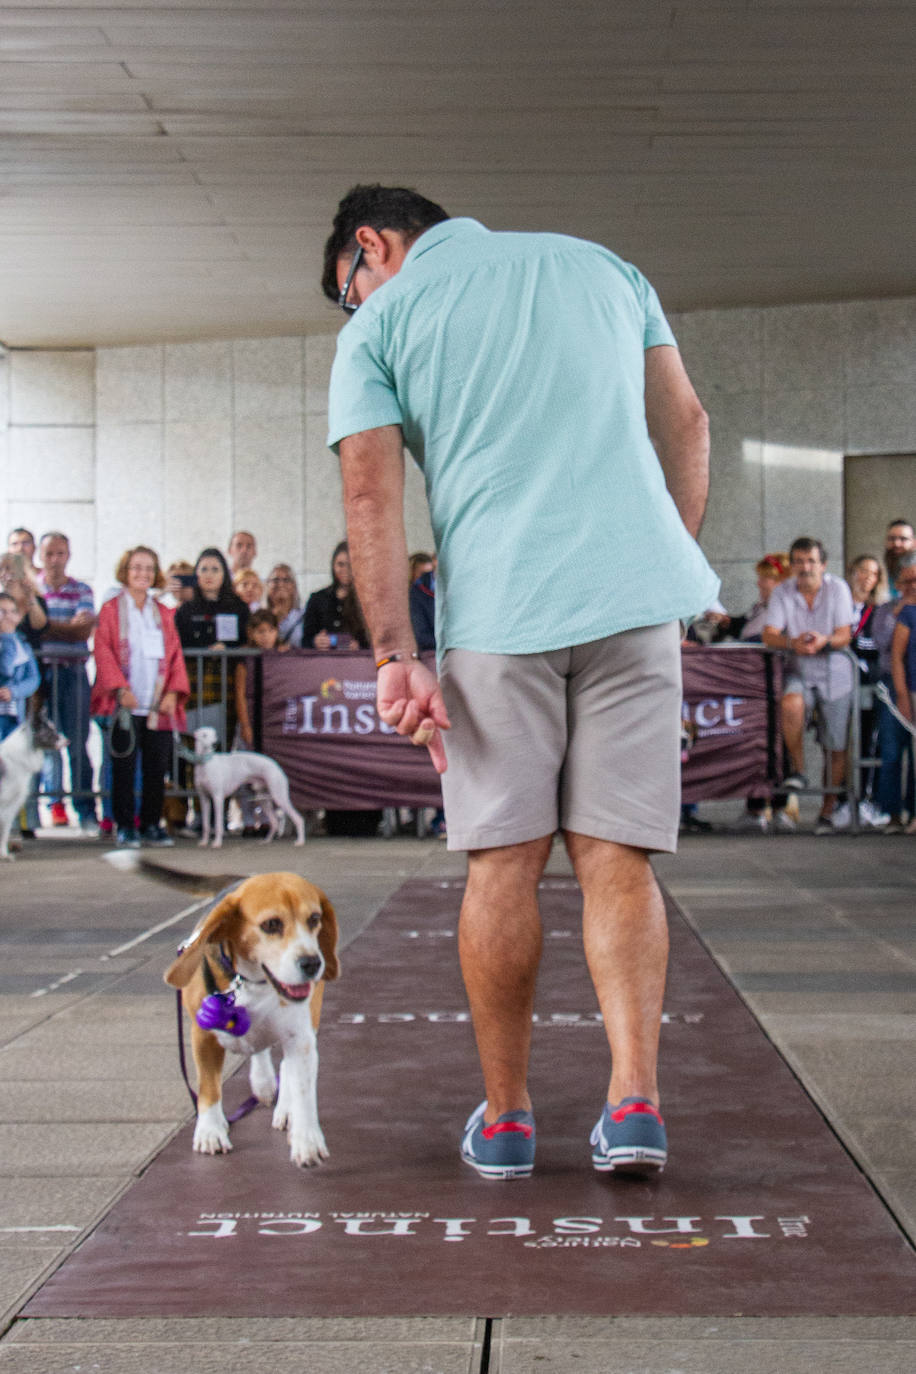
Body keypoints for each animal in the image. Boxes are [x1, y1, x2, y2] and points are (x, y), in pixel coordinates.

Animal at [162, 873, 339, 1165]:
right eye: (271, 924)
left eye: (314, 918)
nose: (313, 963)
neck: (249, 981)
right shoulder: (203, 1037)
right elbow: (209, 1087)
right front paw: (210, 1131)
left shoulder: (300, 1038)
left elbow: (303, 1089)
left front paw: (307, 1140)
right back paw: (262, 1082)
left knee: (284, 1066)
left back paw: (283, 1105)